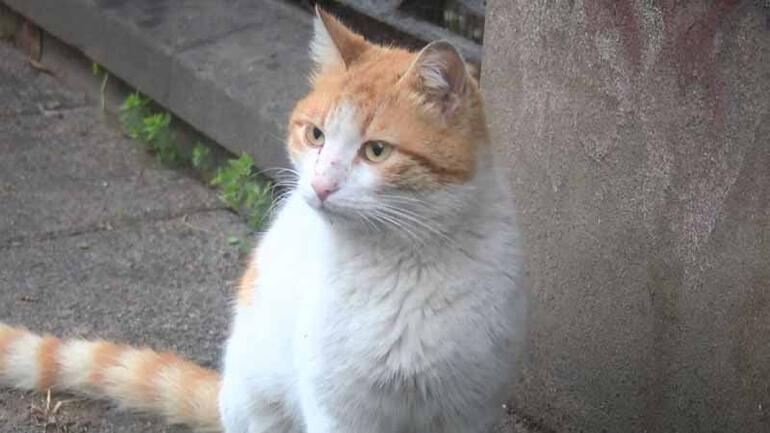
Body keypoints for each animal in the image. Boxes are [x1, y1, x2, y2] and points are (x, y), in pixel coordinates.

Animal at [0, 6, 520, 432]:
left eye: (376, 151)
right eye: (316, 135)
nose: (321, 185)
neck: (401, 263)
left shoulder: (468, 409)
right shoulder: (340, 412)